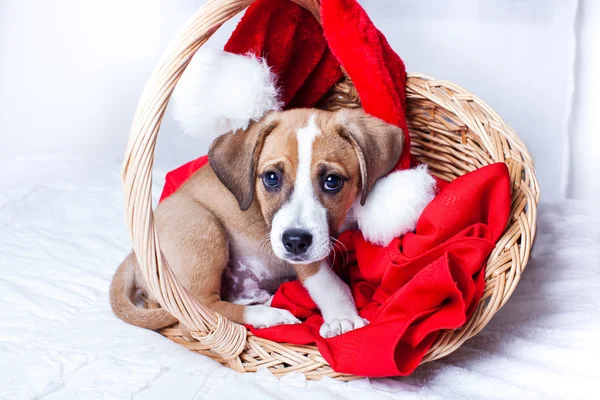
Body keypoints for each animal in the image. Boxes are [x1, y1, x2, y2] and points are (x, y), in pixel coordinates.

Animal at [111, 108, 404, 338]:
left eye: (332, 181)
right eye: (271, 177)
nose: (295, 242)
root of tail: (134, 255)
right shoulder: (305, 259)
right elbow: (328, 282)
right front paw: (343, 317)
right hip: (203, 227)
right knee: (203, 314)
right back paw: (269, 316)